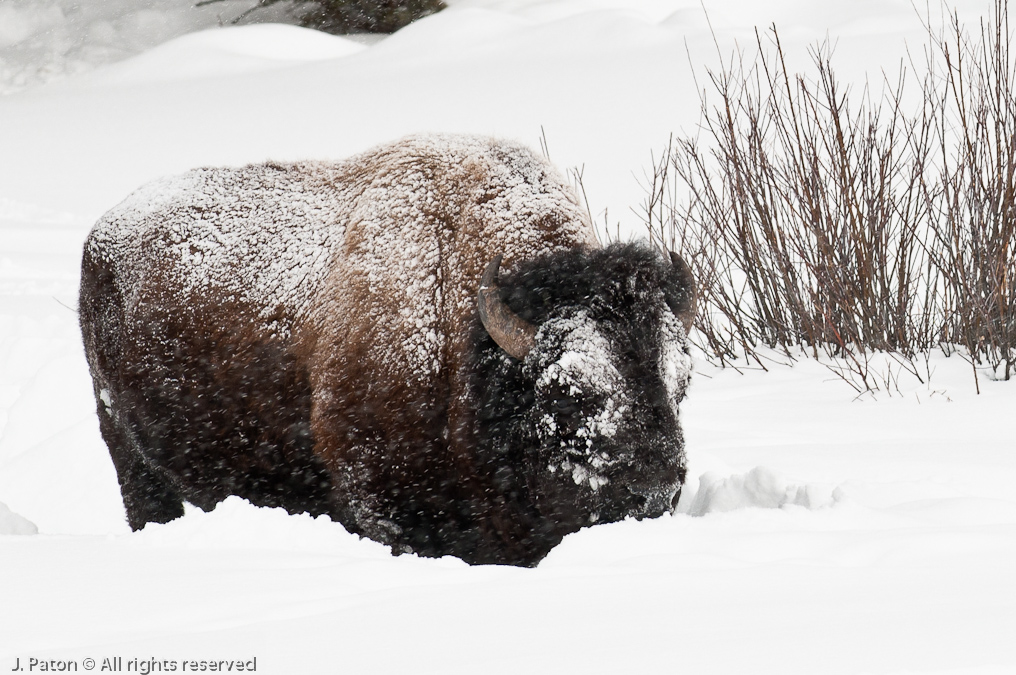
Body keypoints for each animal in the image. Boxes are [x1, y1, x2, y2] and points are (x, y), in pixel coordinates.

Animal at [79, 134, 694, 565]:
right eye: (566, 391)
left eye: (682, 384)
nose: (656, 493)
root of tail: (101, 234)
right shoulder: (381, 500)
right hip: (126, 452)